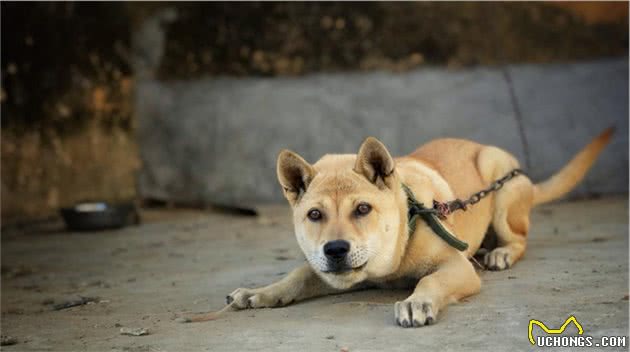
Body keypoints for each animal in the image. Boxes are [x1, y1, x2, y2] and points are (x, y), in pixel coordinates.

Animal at [226, 129, 612, 328]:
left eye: (362, 209)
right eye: (314, 215)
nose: (335, 249)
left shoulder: (457, 267)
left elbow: (431, 281)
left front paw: (417, 302)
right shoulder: (334, 273)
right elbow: (298, 275)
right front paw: (260, 292)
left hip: (502, 186)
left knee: (519, 238)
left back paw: (500, 252)